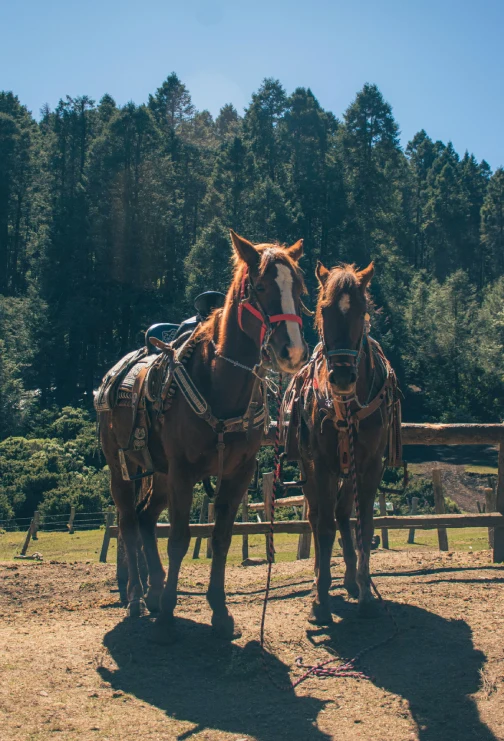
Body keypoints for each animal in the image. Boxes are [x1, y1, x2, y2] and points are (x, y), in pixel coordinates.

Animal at [98, 231, 308, 640]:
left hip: (160, 475)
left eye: (300, 289)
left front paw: (219, 612)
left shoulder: (238, 473)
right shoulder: (183, 471)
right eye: (260, 287)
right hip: (122, 468)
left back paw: (153, 592)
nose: (292, 351)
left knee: (146, 519)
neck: (220, 384)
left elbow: (222, 538)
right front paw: (167, 616)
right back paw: (137, 598)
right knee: (129, 523)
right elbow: (180, 538)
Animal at [285, 261, 401, 624]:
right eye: (324, 309)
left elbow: (363, 523)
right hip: (310, 467)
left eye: (362, 310)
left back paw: (351, 579)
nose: (343, 377)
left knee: (343, 512)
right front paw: (320, 600)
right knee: (319, 516)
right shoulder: (320, 465)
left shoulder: (370, 466)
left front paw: (364, 591)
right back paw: (318, 579)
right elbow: (322, 526)